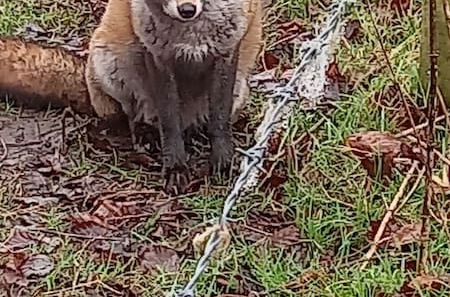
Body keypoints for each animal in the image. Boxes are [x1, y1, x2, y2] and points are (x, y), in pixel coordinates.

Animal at [0, 0, 264, 176]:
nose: (187, 9)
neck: (190, 34)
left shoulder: (226, 53)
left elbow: (219, 121)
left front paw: (222, 159)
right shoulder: (157, 55)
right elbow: (169, 122)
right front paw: (175, 166)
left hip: (240, 89)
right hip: (113, 67)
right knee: (130, 117)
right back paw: (140, 136)